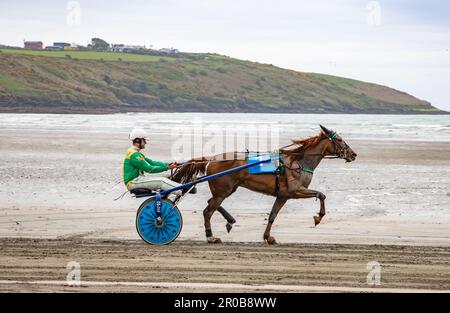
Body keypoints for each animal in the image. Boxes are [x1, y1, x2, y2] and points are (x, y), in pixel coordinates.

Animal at [173, 124, 358, 244]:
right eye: (339, 140)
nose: (353, 154)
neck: (299, 162)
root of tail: (211, 159)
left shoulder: (283, 196)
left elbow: (272, 216)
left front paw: (268, 237)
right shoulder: (296, 191)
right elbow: (321, 194)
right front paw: (318, 217)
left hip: (228, 190)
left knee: (211, 204)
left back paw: (229, 220)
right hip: (223, 191)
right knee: (208, 211)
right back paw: (210, 236)